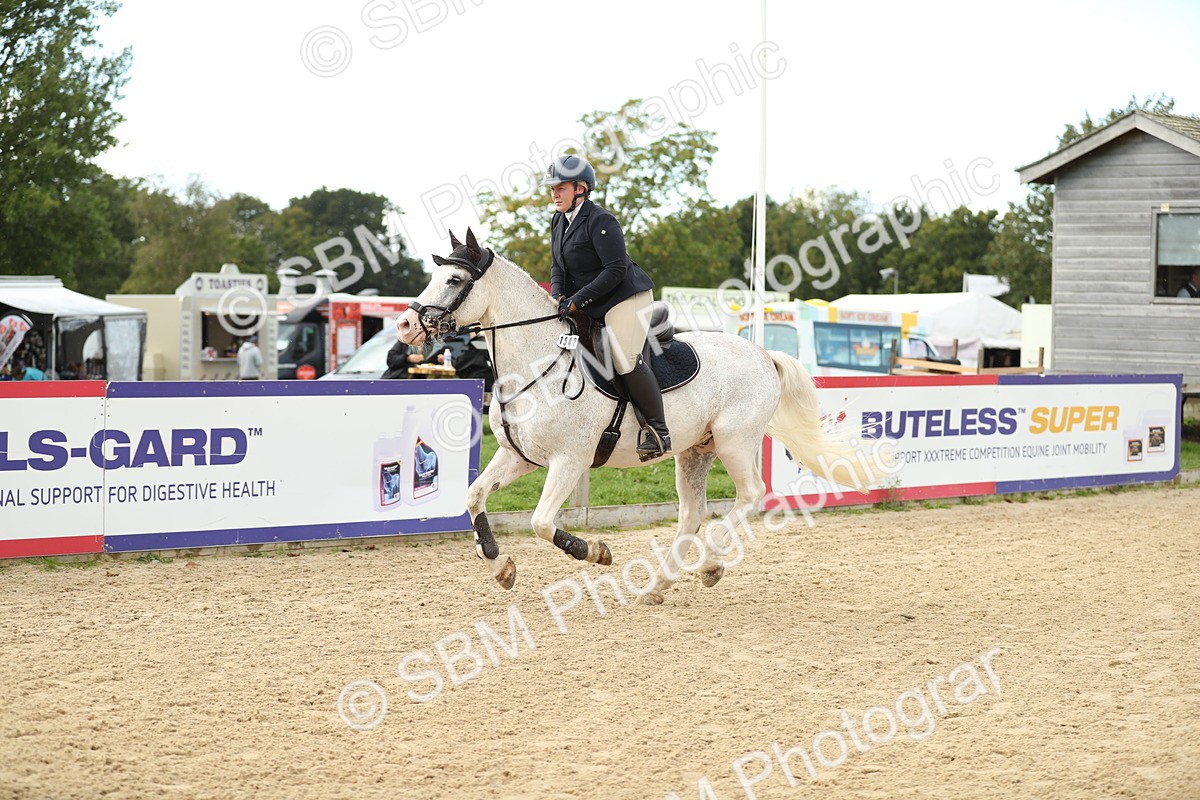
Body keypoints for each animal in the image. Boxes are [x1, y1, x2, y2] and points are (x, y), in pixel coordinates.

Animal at [395, 229, 882, 604]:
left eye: (454, 278)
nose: (405, 326)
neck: (537, 363)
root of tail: (763, 353)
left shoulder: (569, 461)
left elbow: (541, 522)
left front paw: (594, 551)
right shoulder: (520, 457)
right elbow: (474, 496)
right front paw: (500, 565)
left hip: (735, 442)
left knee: (750, 495)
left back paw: (710, 565)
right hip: (696, 450)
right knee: (692, 513)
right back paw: (659, 585)